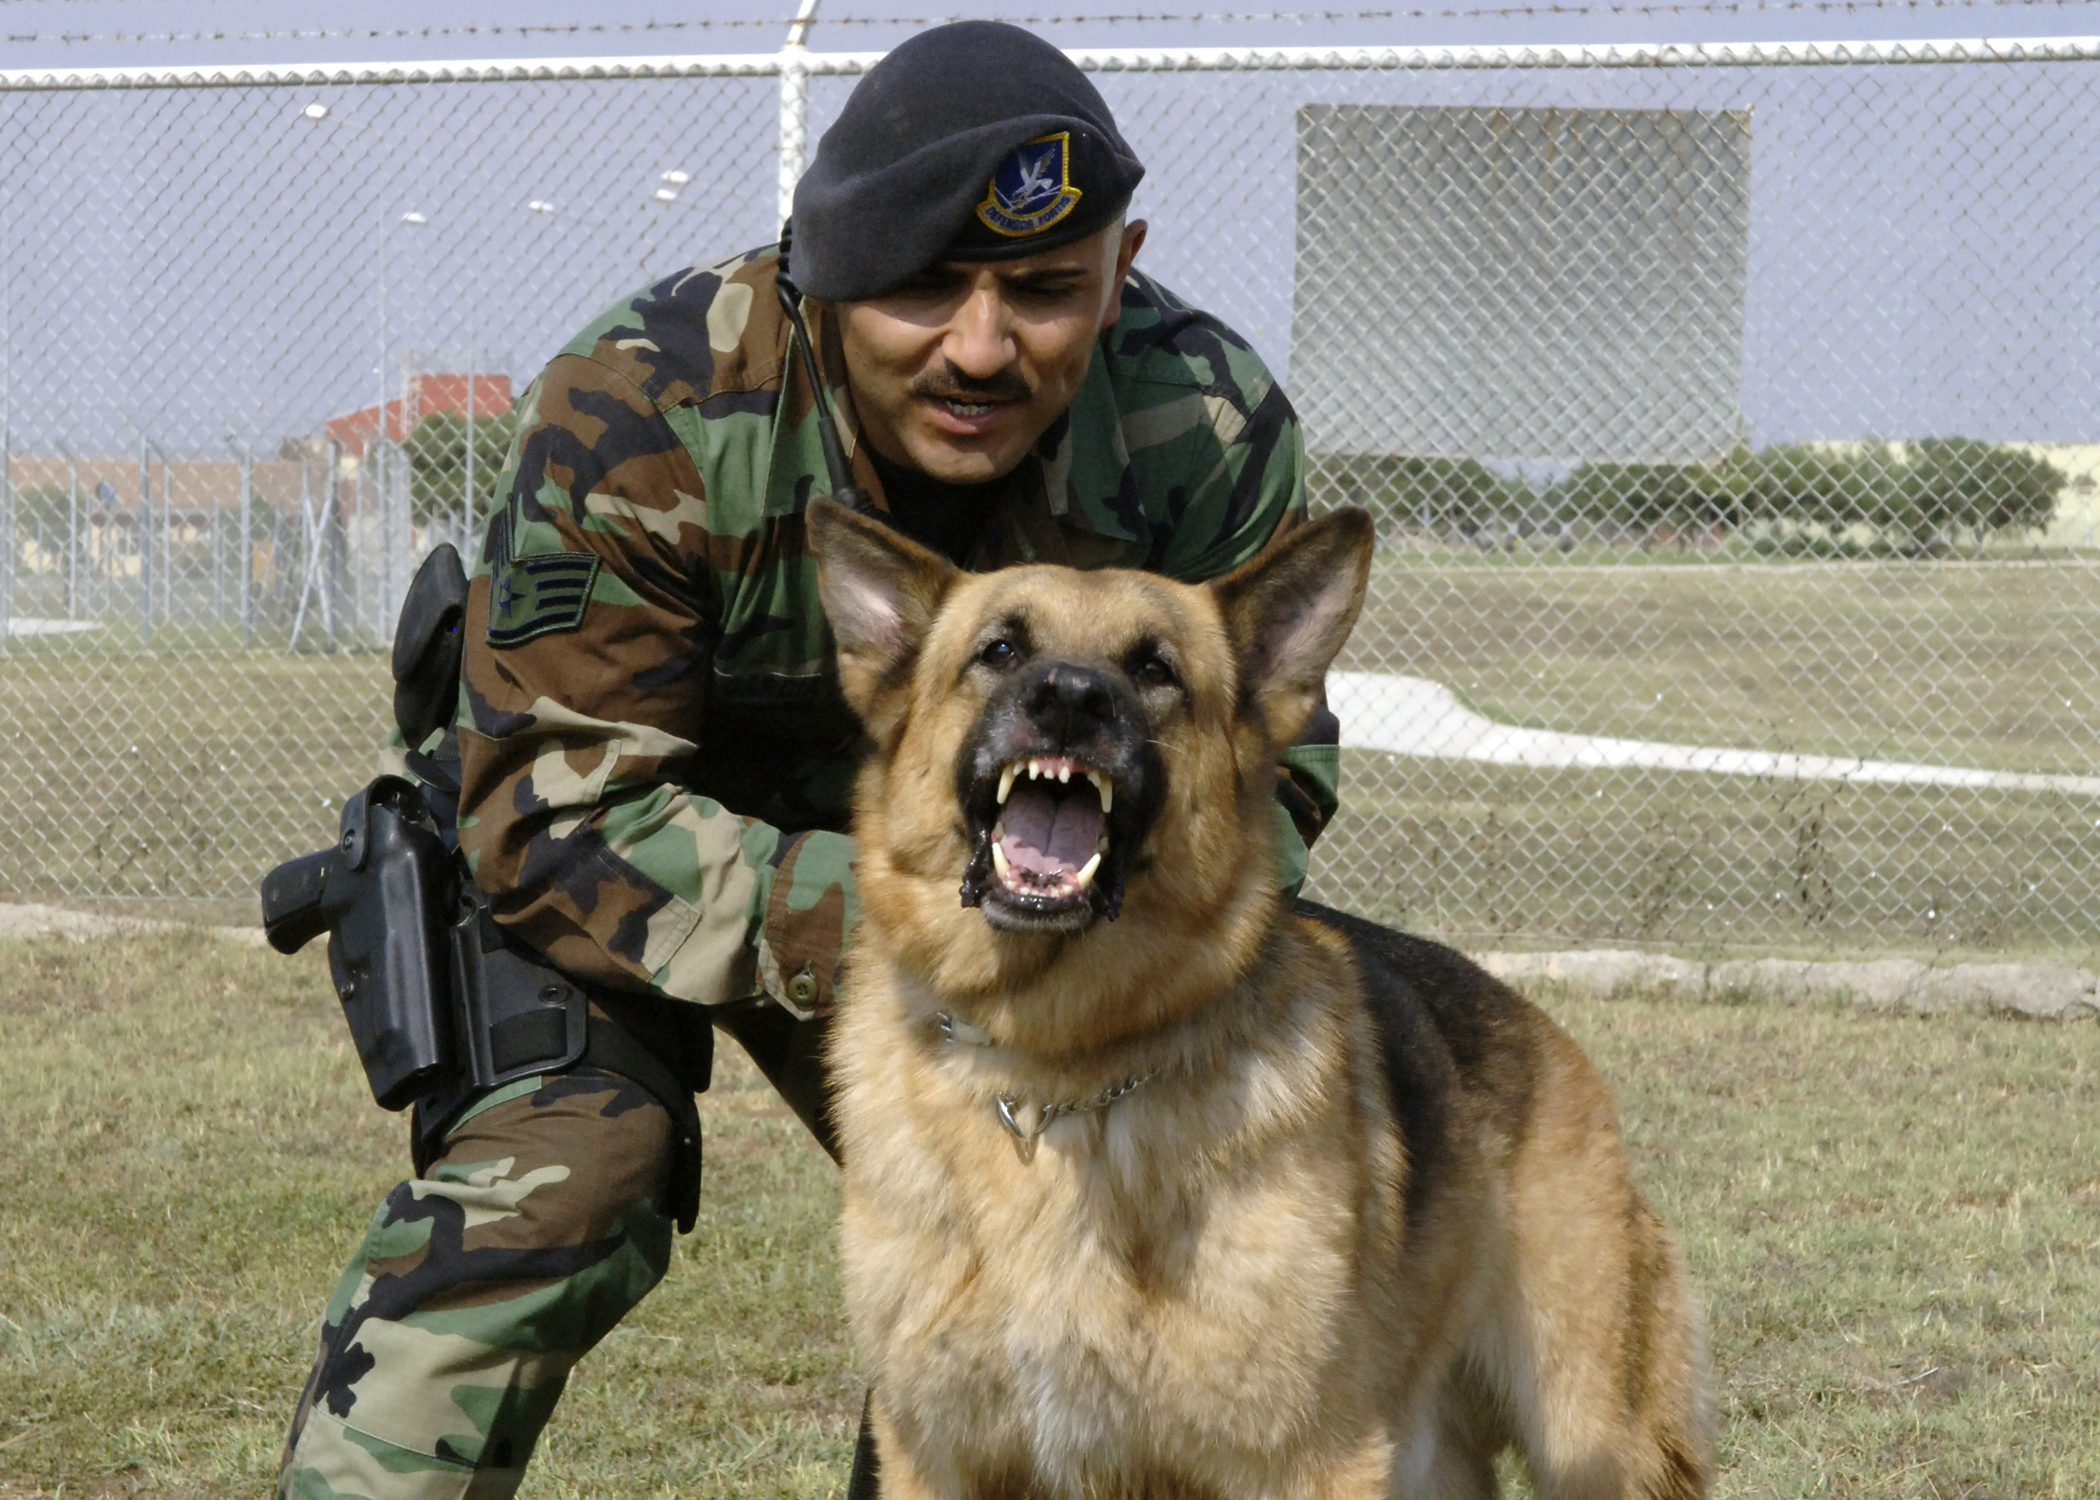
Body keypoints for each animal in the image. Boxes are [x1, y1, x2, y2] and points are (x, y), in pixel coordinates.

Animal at [802, 495, 1705, 1487]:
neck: (1052, 1072)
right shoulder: (936, 1458)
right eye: (1000, 650)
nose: (1070, 699)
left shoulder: (1310, 1460)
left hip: (1594, 1443)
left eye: (1153, 668)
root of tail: (1545, 1034)